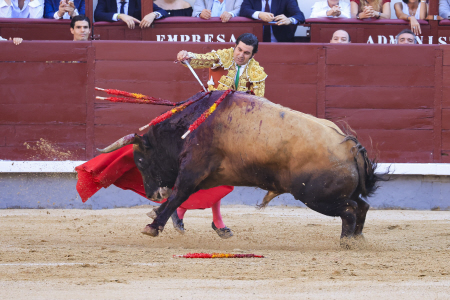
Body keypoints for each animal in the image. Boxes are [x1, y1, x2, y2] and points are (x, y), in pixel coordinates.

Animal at [99, 90, 384, 245]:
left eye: (140, 161)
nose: (150, 193)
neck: (190, 124)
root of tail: (350, 147)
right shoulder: (206, 177)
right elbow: (186, 198)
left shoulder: (193, 169)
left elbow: (178, 195)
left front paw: (153, 226)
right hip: (334, 194)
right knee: (362, 206)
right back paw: (358, 240)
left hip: (316, 197)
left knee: (350, 210)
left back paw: (347, 242)